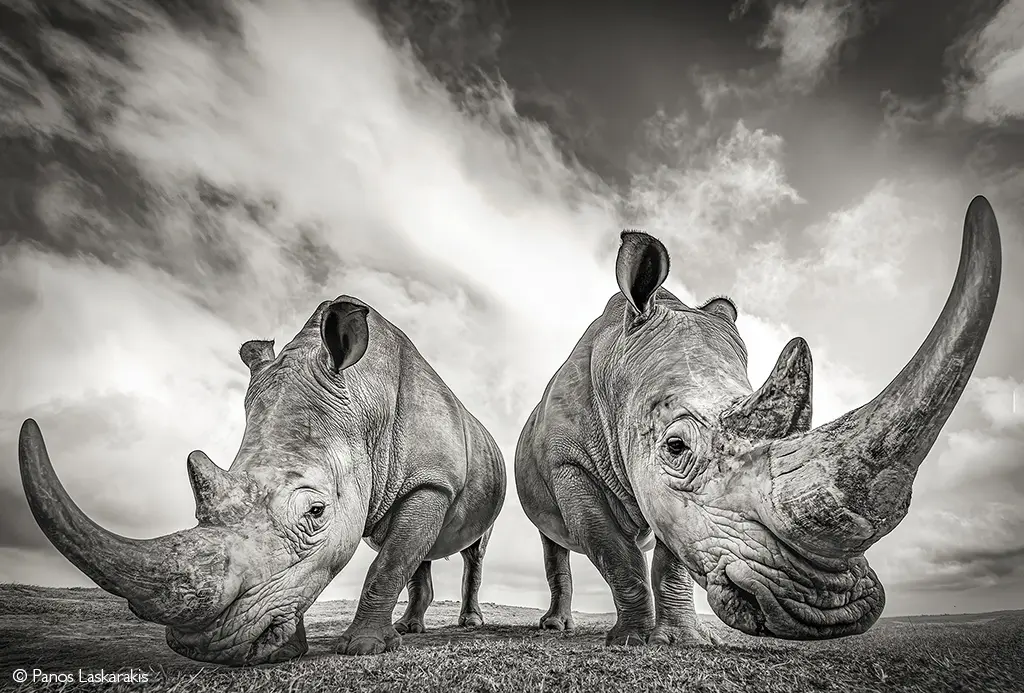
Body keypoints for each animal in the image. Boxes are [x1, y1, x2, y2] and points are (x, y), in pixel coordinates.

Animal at [18, 296, 507, 664]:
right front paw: (287, 652)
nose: (205, 648)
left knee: (472, 551)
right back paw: (410, 627)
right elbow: (388, 557)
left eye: (316, 511)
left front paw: (363, 649)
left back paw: (465, 623)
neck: (366, 403)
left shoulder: (432, 482)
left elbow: (386, 564)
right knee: (421, 551)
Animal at [515, 196, 1001, 645]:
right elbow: (616, 553)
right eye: (676, 446)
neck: (618, 371)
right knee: (554, 540)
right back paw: (557, 628)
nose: (829, 606)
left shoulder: (669, 498)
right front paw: (630, 641)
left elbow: (671, 559)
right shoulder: (569, 464)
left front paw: (682, 641)